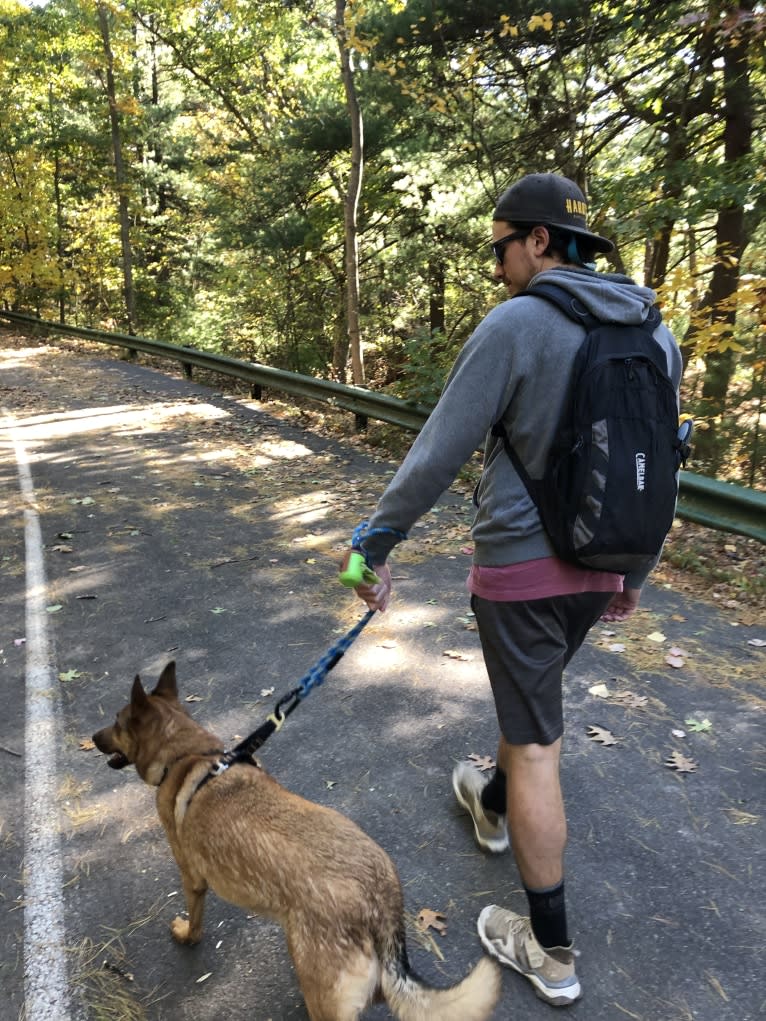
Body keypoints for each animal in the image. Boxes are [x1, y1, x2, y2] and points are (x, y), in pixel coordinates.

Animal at [92, 661, 500, 1021]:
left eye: (116, 721)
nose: (93, 738)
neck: (188, 753)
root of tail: (379, 900)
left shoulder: (191, 876)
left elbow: (194, 921)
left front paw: (186, 935)